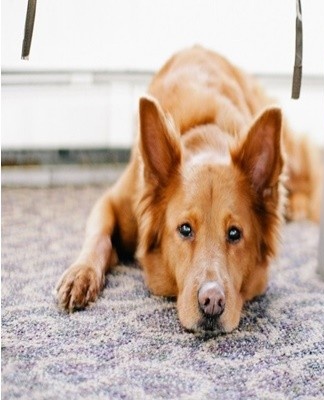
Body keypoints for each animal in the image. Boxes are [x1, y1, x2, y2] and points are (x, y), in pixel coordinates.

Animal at [56, 46, 322, 332]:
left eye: (234, 233)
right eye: (185, 229)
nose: (212, 301)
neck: (206, 135)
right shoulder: (113, 201)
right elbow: (99, 236)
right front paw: (80, 274)